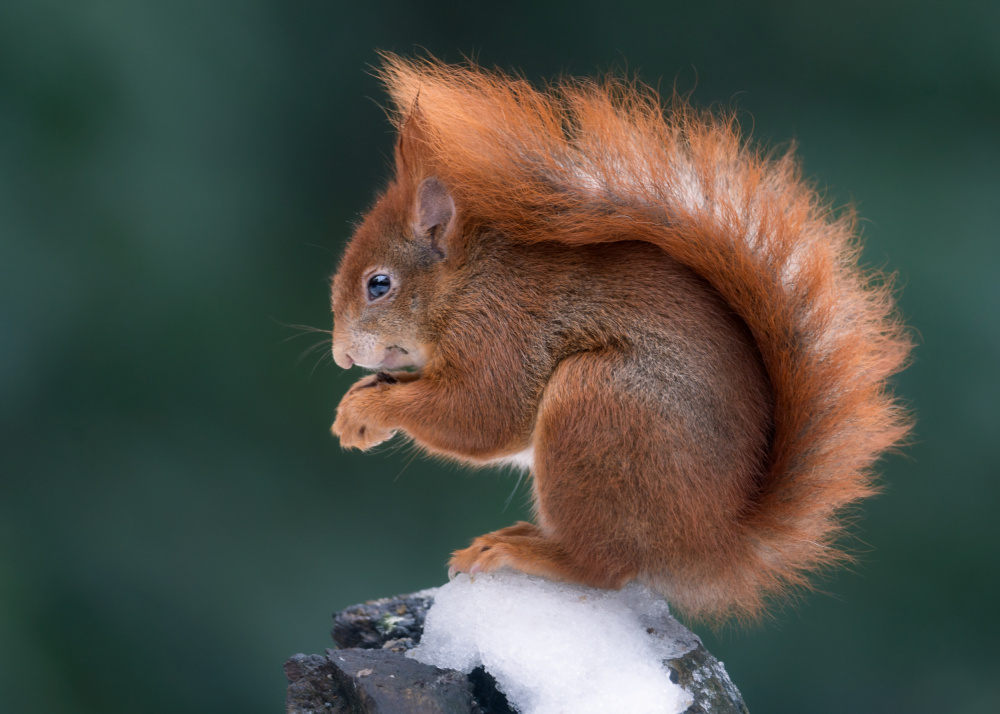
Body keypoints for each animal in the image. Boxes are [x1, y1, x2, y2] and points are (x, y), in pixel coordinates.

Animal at [329, 55, 911, 622]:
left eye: (379, 285)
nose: (341, 357)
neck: (466, 283)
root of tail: (712, 543)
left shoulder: (501, 330)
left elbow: (481, 414)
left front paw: (367, 412)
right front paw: (359, 401)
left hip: (598, 404)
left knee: (602, 567)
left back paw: (523, 550)